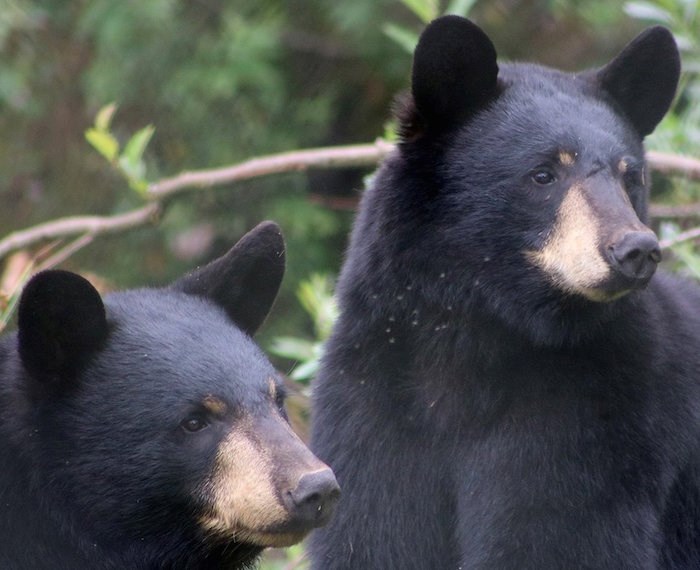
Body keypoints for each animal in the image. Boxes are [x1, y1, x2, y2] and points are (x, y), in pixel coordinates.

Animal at [308, 15, 700, 564]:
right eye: (543, 174)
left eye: (632, 177)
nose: (636, 249)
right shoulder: (372, 399)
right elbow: (372, 535)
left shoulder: (602, 415)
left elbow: (559, 535)